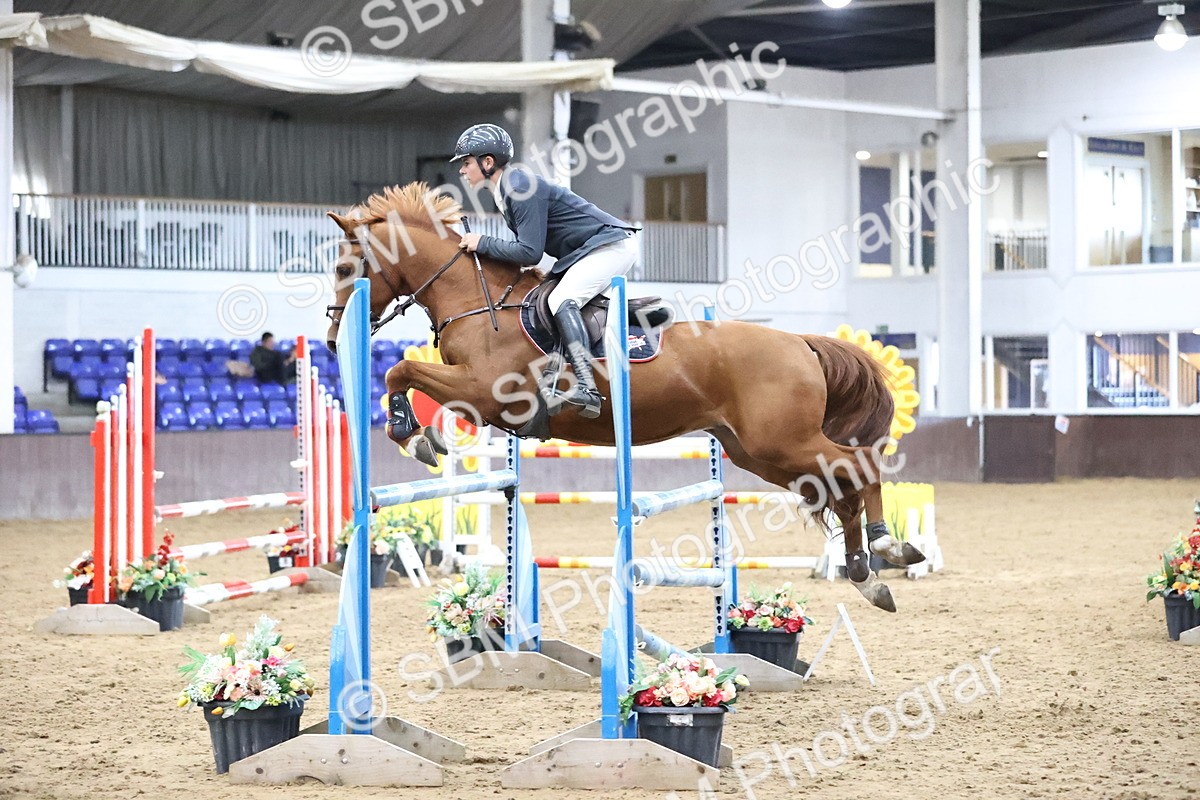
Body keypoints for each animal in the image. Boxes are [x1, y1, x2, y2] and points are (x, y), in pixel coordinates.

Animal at [324, 183, 925, 612]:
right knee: (838, 485)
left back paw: (888, 549)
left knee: (858, 466)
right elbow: (406, 375)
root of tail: (799, 341)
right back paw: (866, 575)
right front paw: (420, 436)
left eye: (344, 267)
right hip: (757, 451)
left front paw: (410, 434)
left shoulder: (485, 394)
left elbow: (399, 369)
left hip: (783, 441)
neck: (479, 299)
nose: (331, 339)